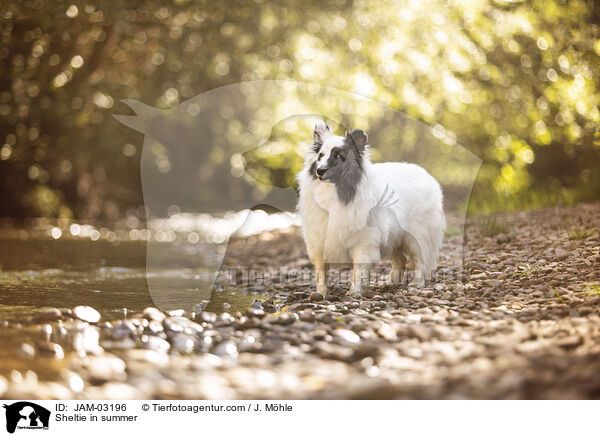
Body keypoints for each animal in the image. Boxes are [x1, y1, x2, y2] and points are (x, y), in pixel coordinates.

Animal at [298, 121, 446, 298]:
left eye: (339, 156)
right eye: (320, 155)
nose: (319, 170)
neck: (335, 191)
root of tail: (427, 176)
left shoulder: (363, 243)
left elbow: (358, 269)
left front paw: (354, 291)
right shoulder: (318, 242)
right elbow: (321, 270)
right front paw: (321, 292)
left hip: (416, 237)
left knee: (420, 261)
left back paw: (417, 283)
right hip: (393, 237)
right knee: (400, 260)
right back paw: (391, 282)